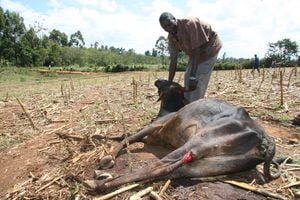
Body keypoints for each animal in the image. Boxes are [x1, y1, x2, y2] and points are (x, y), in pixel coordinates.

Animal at [84, 79, 278, 191]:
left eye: (167, 83)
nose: (157, 81)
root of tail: (267, 142)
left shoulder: (154, 126)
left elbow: (128, 137)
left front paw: (107, 157)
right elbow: (126, 134)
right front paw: (98, 137)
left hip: (199, 143)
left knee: (161, 166)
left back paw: (98, 183)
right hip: (214, 165)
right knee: (173, 171)